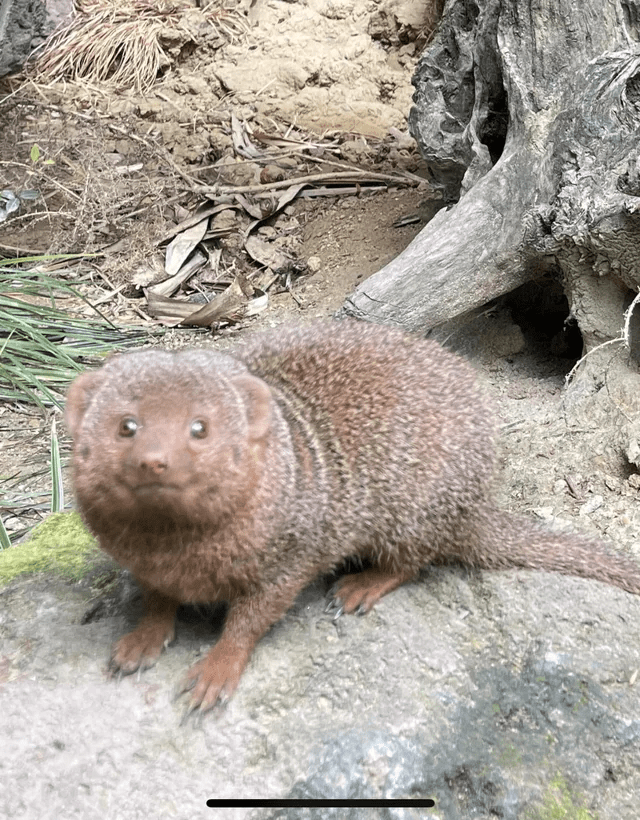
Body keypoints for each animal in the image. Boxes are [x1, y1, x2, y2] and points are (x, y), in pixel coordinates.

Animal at [65, 320, 640, 715]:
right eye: (127, 425)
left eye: (199, 428)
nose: (154, 460)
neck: (177, 546)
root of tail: (476, 505)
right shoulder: (141, 560)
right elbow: (156, 596)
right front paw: (142, 638)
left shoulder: (293, 553)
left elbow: (251, 617)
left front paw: (216, 672)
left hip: (415, 508)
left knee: (415, 559)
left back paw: (362, 585)